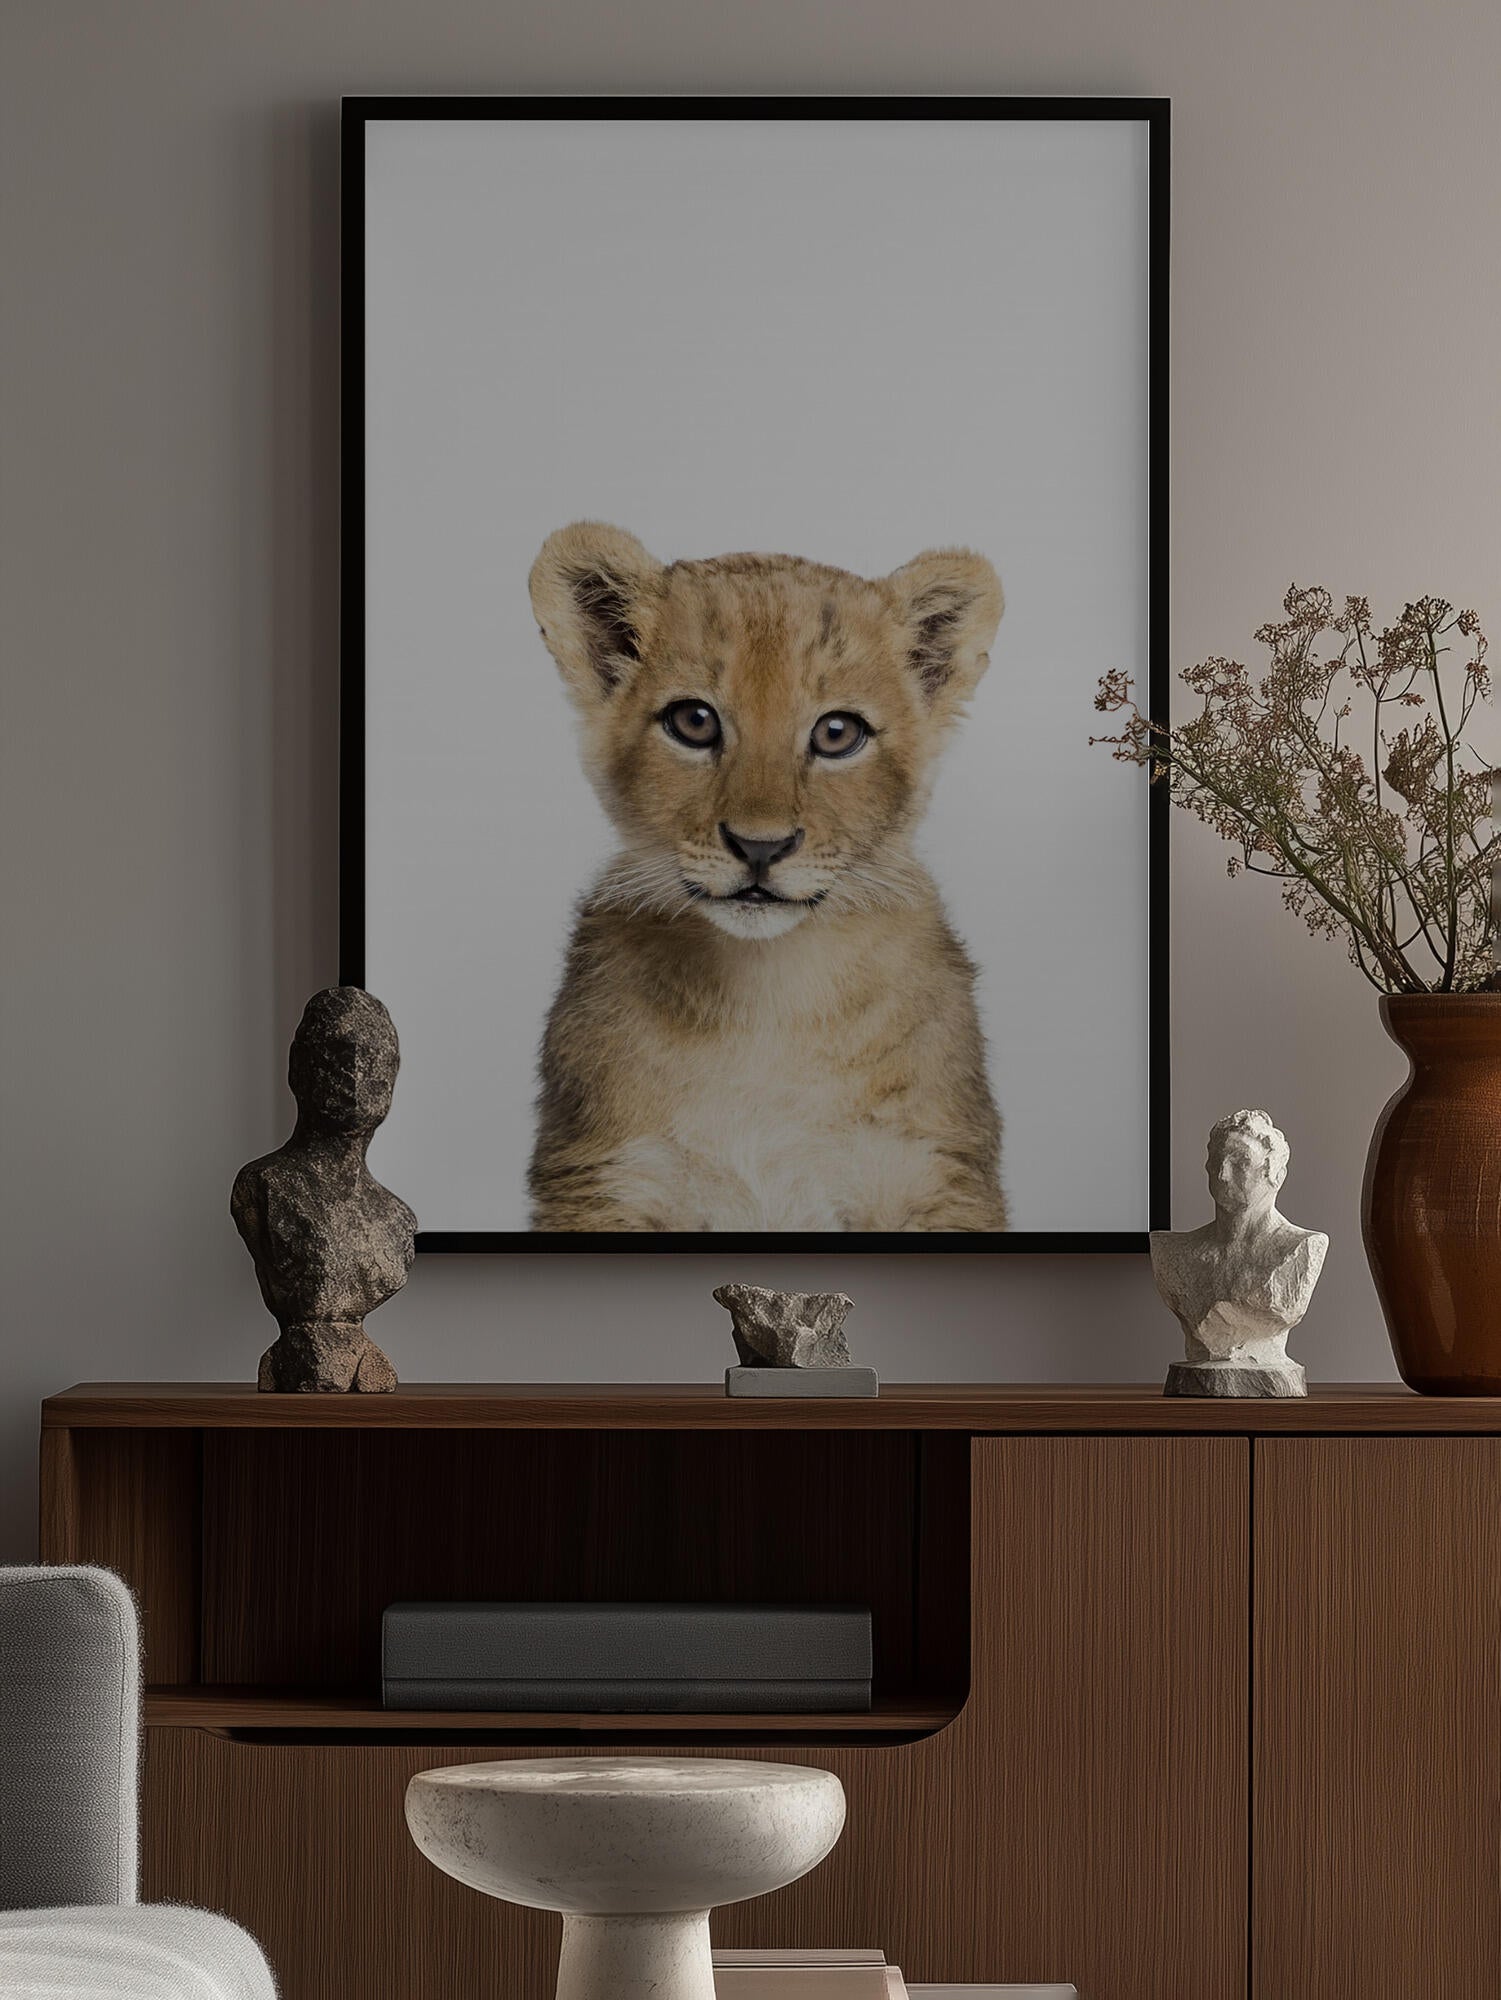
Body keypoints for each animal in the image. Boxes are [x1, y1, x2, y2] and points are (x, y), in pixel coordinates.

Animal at [525, 521, 1007, 1233]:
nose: (760, 847)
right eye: (693, 722)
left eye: (837, 733)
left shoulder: (934, 1173)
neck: (768, 995)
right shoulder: (605, 1177)